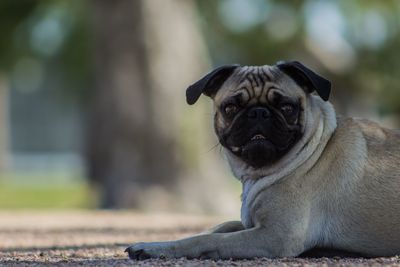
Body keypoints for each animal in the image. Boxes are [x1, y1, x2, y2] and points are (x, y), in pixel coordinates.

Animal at [126, 61, 400, 260]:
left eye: (287, 108)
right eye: (230, 107)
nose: (259, 112)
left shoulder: (276, 235)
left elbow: (209, 239)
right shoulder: (253, 225)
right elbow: (217, 227)